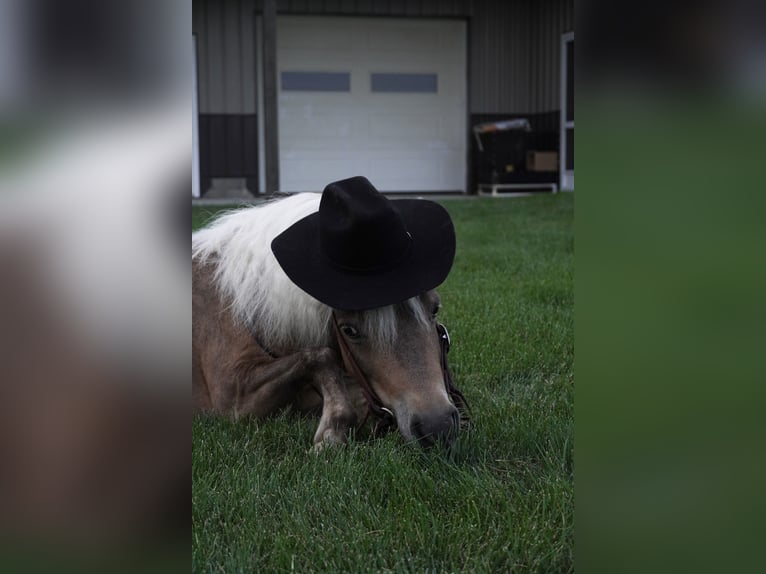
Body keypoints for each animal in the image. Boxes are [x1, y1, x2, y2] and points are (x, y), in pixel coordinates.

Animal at [192, 193, 468, 449]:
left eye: (435, 308)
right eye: (349, 330)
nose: (438, 425)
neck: (244, 304)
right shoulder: (233, 394)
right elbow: (321, 356)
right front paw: (332, 430)